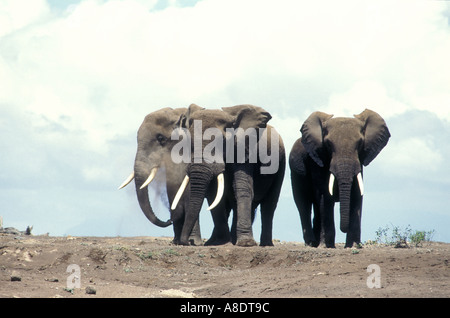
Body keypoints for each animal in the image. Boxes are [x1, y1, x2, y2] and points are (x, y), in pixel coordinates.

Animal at [119, 105, 204, 245]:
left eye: (161, 138)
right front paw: (177, 242)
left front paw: (191, 242)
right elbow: (173, 188)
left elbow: (190, 191)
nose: (169, 220)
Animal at [172, 104, 284, 246]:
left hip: (280, 165)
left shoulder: (243, 149)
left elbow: (241, 186)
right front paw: (220, 242)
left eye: (222, 142)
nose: (187, 242)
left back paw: (265, 244)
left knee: (269, 205)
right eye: (189, 144)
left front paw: (246, 244)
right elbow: (215, 192)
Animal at [290, 109, 388, 248]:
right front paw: (328, 246)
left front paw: (353, 246)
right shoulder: (318, 161)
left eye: (360, 143)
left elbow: (356, 193)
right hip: (296, 173)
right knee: (303, 204)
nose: (344, 229)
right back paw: (311, 243)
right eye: (328, 144)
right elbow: (325, 195)